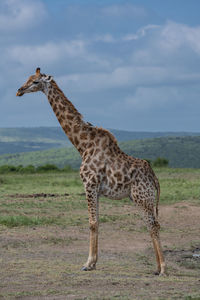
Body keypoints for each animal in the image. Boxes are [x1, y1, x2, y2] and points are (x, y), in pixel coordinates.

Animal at [16, 69, 166, 276]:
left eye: (36, 81)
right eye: (28, 78)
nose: (19, 90)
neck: (83, 145)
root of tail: (155, 177)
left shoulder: (89, 184)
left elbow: (92, 222)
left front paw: (88, 263)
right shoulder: (96, 189)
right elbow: (97, 222)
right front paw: (93, 262)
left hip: (142, 197)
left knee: (153, 224)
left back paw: (163, 268)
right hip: (141, 198)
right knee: (151, 224)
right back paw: (157, 267)